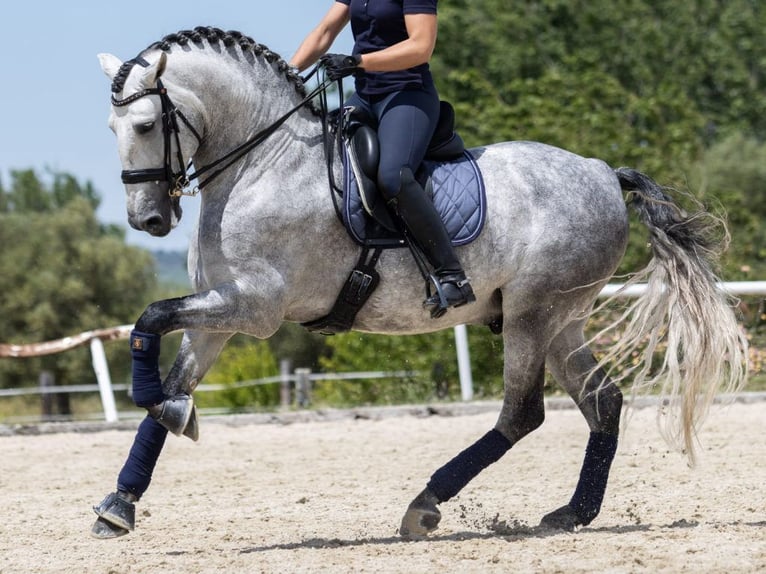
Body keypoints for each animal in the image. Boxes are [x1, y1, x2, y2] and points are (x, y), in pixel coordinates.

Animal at [91, 27, 747, 539]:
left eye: (145, 125)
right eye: (111, 128)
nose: (148, 220)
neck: (263, 165)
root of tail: (604, 172)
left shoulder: (253, 307)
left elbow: (150, 319)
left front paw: (168, 411)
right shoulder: (219, 316)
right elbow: (168, 371)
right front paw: (122, 500)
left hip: (534, 314)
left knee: (522, 414)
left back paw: (425, 505)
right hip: (563, 319)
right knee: (602, 402)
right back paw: (573, 513)